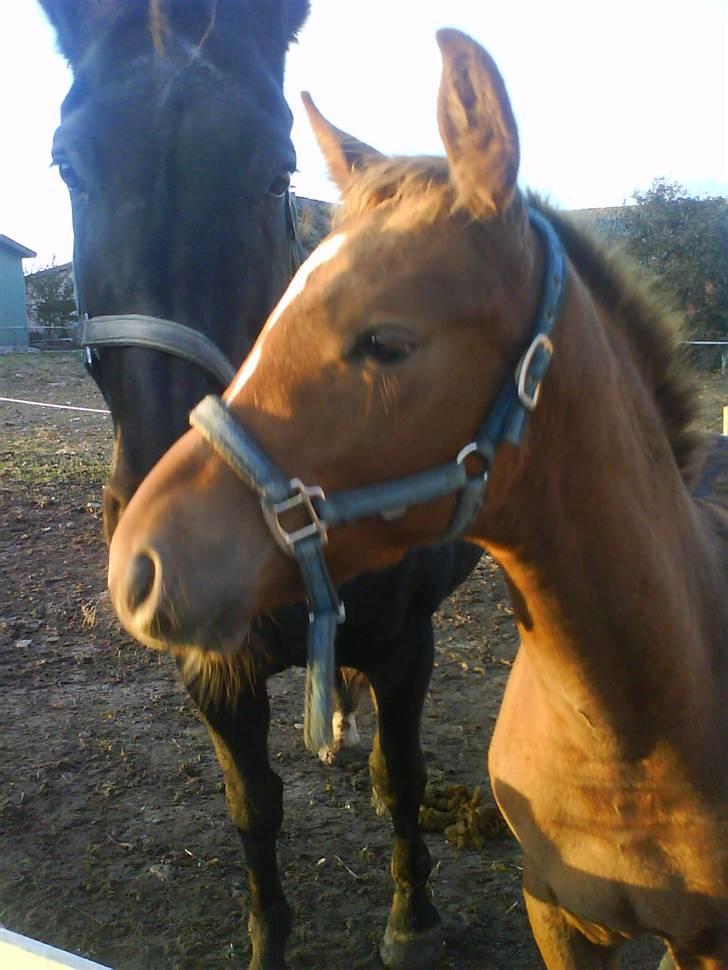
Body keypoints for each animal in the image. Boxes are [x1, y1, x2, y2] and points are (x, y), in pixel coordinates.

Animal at [41, 3, 484, 964]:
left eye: (275, 169)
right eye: (69, 164)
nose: (172, 539)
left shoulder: (407, 643)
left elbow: (403, 778)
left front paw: (413, 918)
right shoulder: (214, 673)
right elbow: (254, 811)